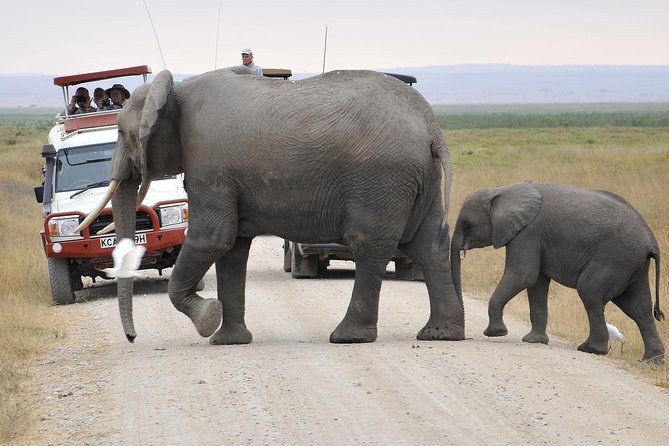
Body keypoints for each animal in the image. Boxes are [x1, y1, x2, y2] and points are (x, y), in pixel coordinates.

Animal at [76, 66, 465, 345]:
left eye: (121, 133)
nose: (132, 338)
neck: (176, 90)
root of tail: (431, 125)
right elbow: (231, 248)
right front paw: (228, 341)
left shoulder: (210, 166)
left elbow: (213, 238)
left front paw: (208, 320)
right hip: (419, 179)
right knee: (427, 244)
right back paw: (440, 334)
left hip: (382, 179)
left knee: (370, 245)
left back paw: (348, 337)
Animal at [450, 181, 665, 364]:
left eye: (467, 225)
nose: (461, 336)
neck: (503, 190)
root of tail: (652, 241)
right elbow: (536, 283)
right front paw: (534, 341)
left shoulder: (527, 233)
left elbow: (523, 275)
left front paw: (495, 333)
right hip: (632, 264)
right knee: (638, 308)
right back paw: (650, 361)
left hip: (614, 258)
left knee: (590, 292)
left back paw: (590, 349)